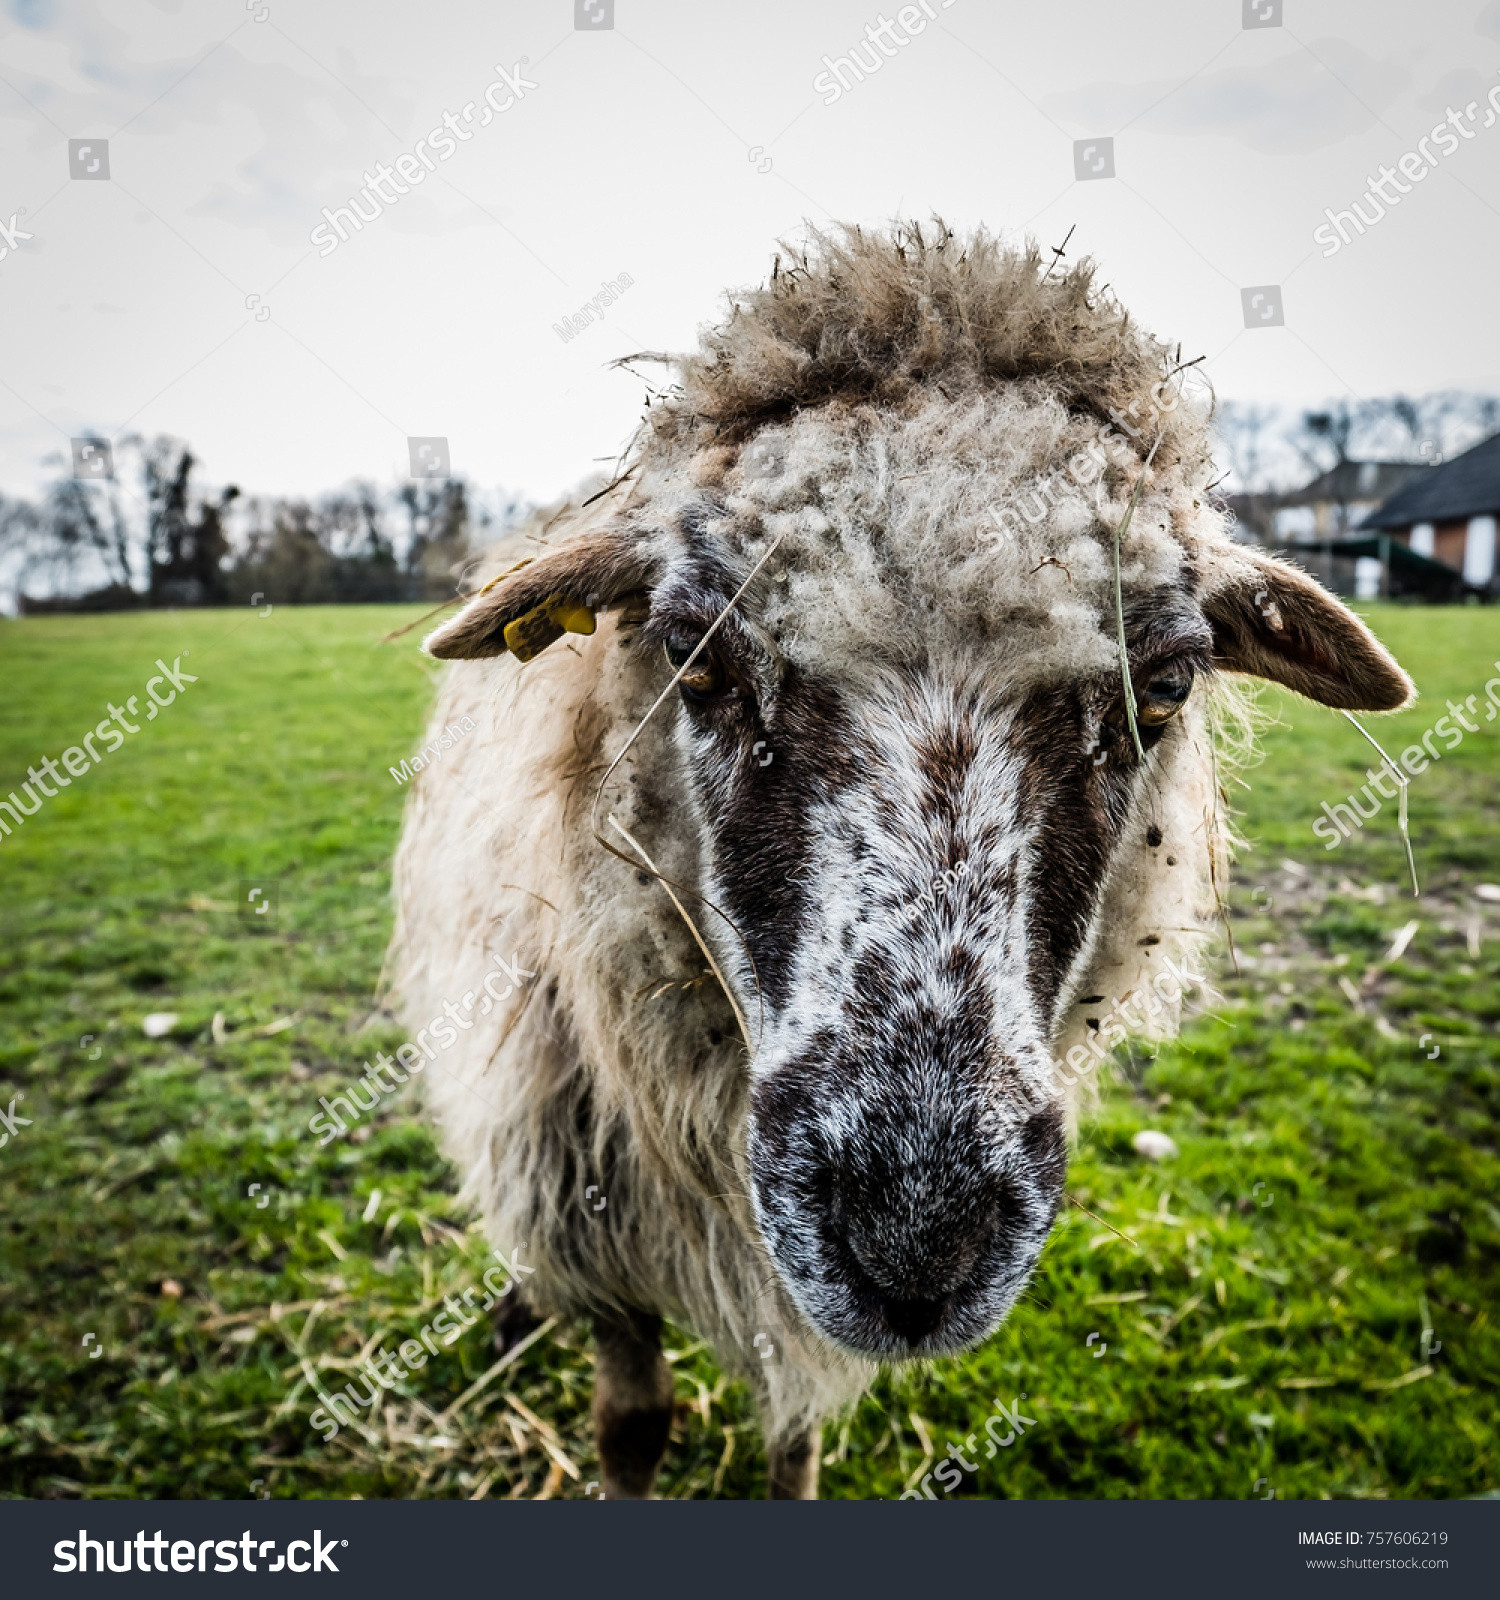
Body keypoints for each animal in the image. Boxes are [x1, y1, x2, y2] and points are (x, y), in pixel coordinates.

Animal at [388, 219, 1413, 1491]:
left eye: (1168, 683)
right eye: (691, 652)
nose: (916, 1243)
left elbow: (797, 1436)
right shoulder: (595, 1230)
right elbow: (631, 1425)